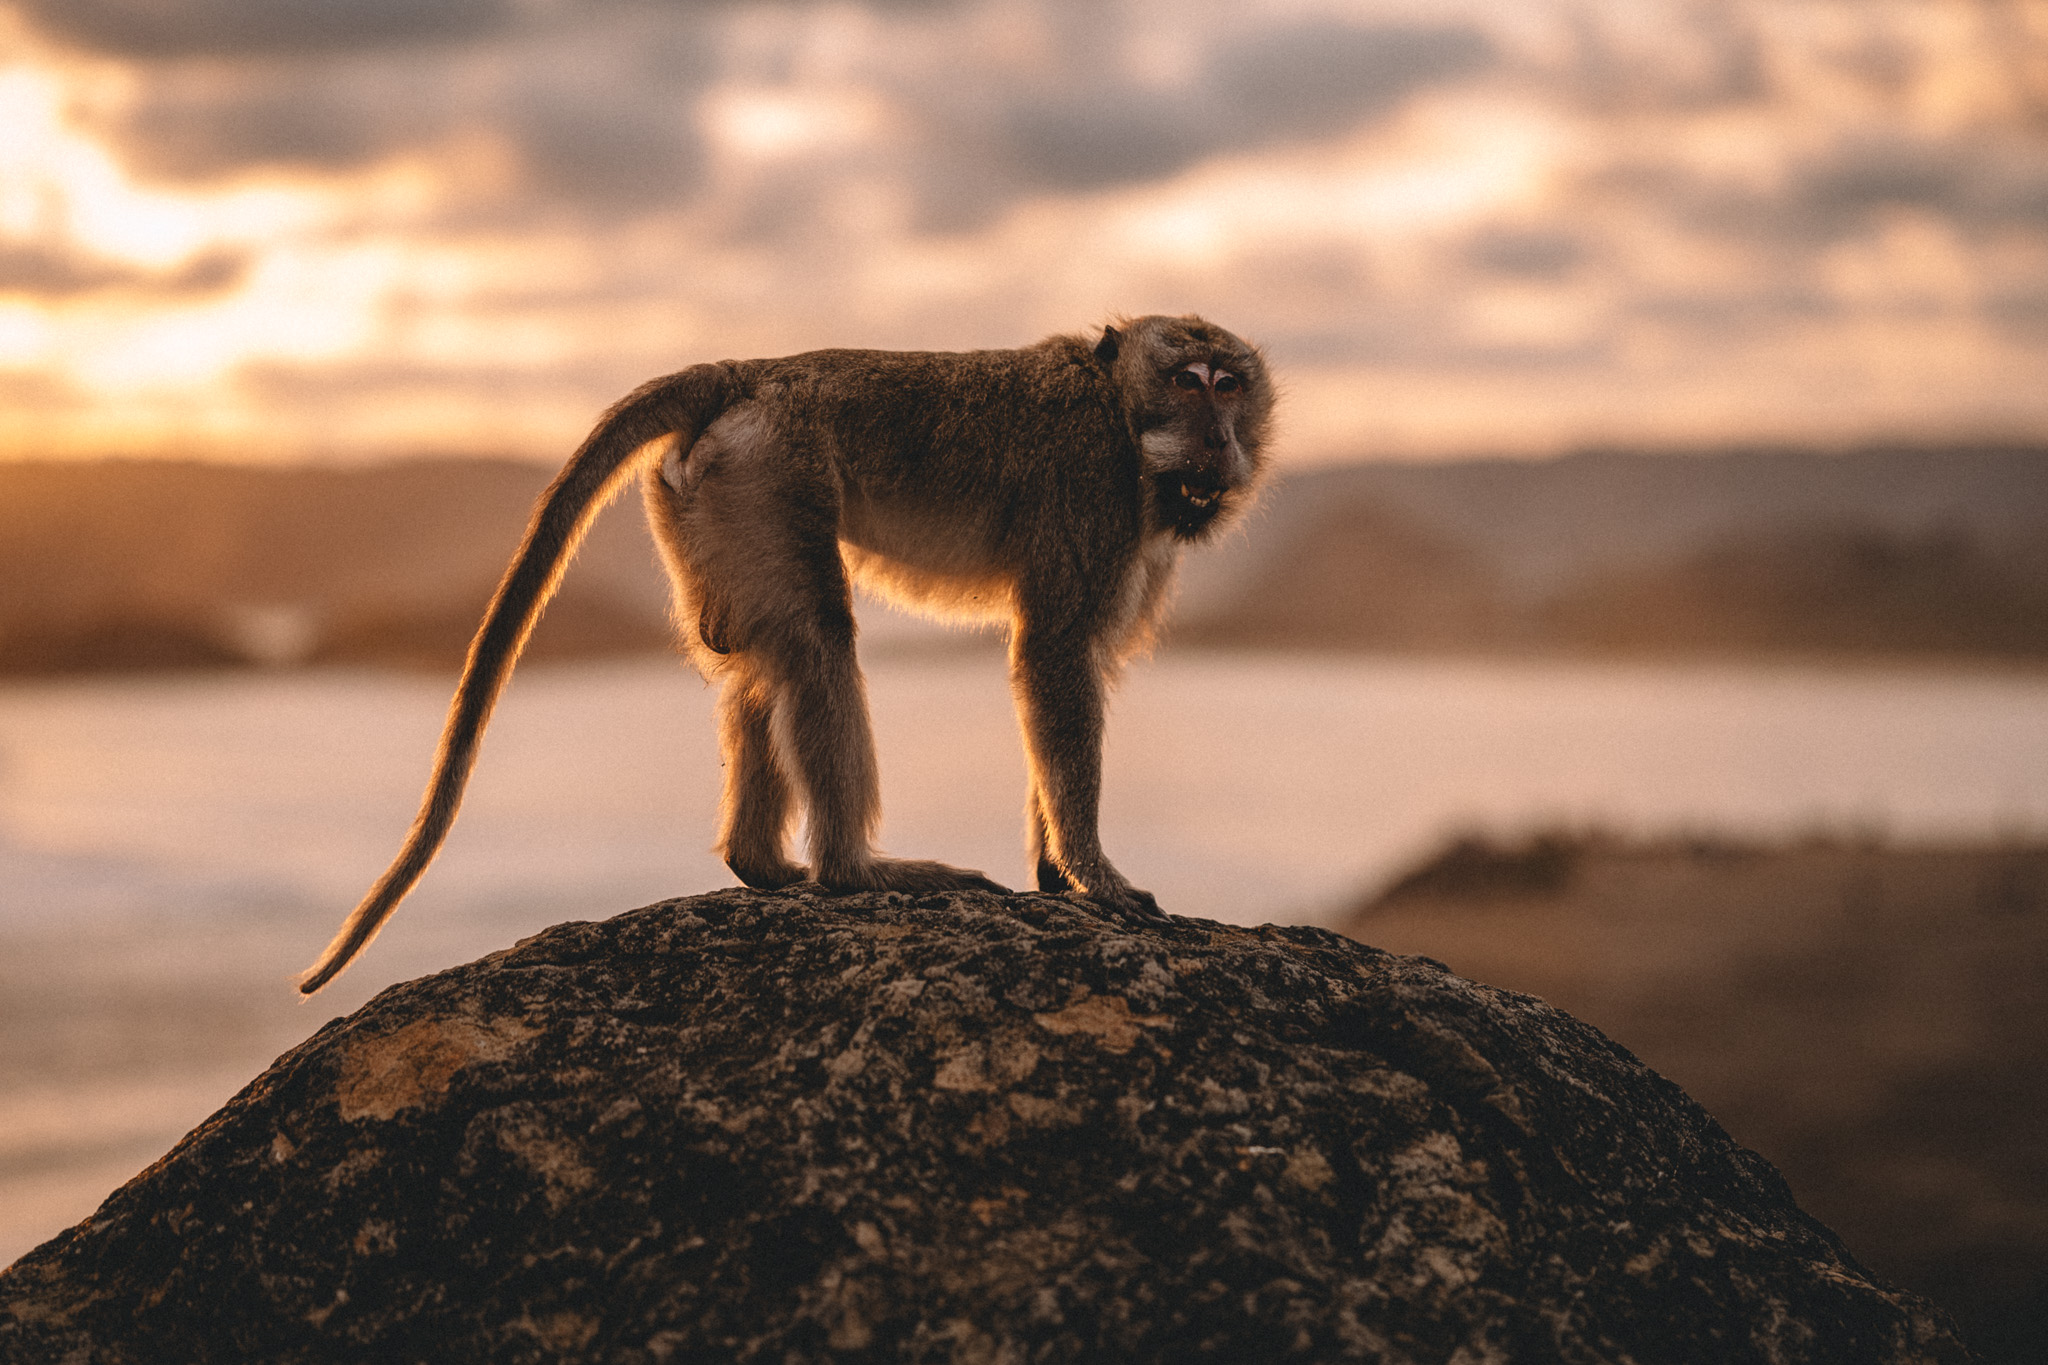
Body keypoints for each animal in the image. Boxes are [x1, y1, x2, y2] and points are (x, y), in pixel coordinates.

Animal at [297, 314, 1272, 994]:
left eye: (1230, 385)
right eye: (1189, 381)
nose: (1220, 440)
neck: (1118, 414)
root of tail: (750, 371)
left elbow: (1074, 665)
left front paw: (1055, 873)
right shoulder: (1088, 487)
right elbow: (1056, 656)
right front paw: (1096, 874)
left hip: (710, 497)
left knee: (761, 662)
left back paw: (760, 863)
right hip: (768, 471)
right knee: (814, 643)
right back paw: (853, 870)